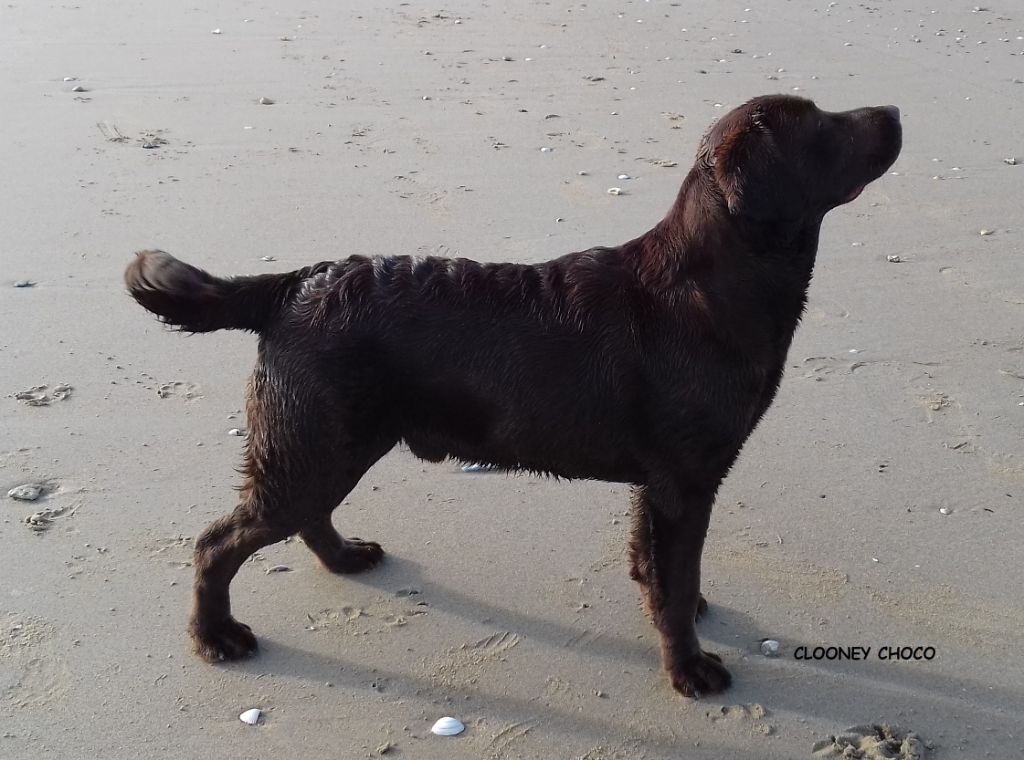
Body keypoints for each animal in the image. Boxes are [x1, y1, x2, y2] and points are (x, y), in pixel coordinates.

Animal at [123, 96, 901, 700]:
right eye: (824, 126)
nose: (894, 111)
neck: (714, 287)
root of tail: (294, 284)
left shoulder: (658, 483)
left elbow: (657, 566)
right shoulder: (685, 481)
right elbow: (675, 587)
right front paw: (689, 668)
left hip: (330, 442)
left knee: (304, 516)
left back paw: (343, 559)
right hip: (313, 444)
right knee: (216, 543)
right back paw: (216, 637)